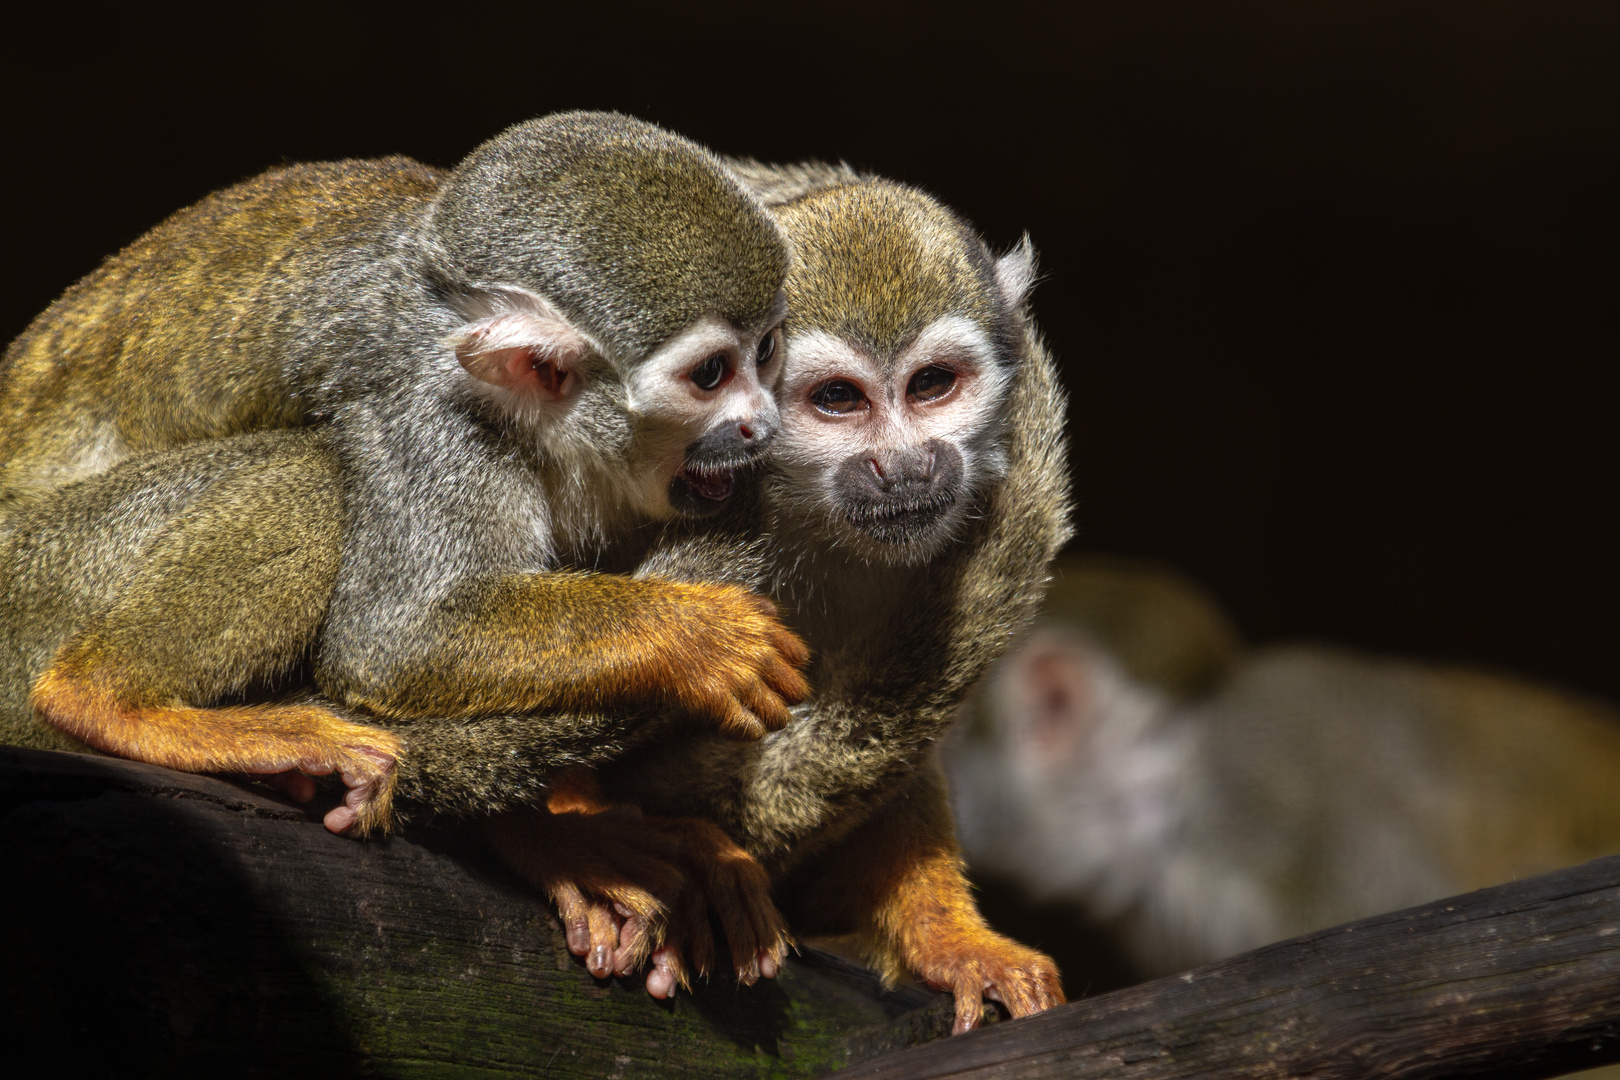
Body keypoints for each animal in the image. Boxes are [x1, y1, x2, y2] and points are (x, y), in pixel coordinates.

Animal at [0, 111, 810, 835]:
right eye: (711, 375)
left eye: (767, 351)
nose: (761, 426)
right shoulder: (424, 406)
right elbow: (394, 638)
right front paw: (697, 635)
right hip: (36, 580)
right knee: (315, 478)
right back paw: (107, 699)